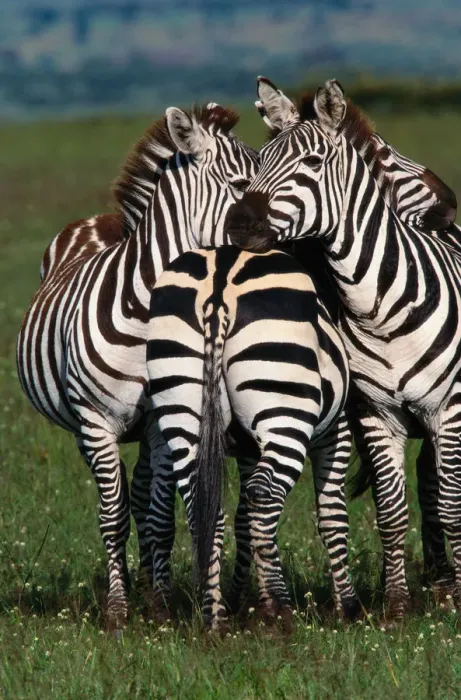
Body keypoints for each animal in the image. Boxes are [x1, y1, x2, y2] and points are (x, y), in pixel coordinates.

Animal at [17, 102, 259, 629]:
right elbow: (114, 516)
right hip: (83, 428)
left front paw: (162, 605)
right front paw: (117, 611)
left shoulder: (160, 420)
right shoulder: (95, 421)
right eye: (239, 183)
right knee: (117, 500)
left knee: (145, 494)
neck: (144, 310)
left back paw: (150, 586)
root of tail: (102, 220)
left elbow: (159, 516)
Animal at [146, 245, 359, 629]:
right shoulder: (336, 430)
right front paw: (347, 607)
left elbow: (241, 520)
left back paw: (214, 616)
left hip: (180, 407)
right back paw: (280, 607)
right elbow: (333, 513)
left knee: (203, 506)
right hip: (284, 411)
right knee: (264, 496)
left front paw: (239, 597)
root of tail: (218, 284)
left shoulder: (246, 447)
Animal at [226, 76, 461, 619]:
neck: (381, 308)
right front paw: (396, 605)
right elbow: (392, 510)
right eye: (260, 160)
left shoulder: (449, 409)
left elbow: (454, 505)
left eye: (312, 162)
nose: (239, 223)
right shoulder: (376, 412)